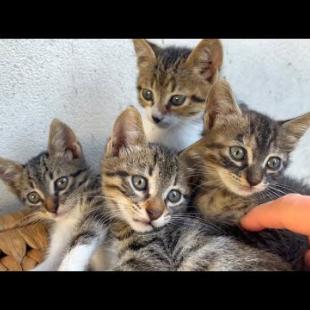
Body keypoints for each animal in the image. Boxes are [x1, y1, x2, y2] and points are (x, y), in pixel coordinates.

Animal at [0, 120, 109, 270]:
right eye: (33, 197)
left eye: (61, 182)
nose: (52, 209)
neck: (71, 216)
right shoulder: (58, 245)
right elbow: (51, 261)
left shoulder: (100, 205)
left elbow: (84, 236)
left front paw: (67, 267)